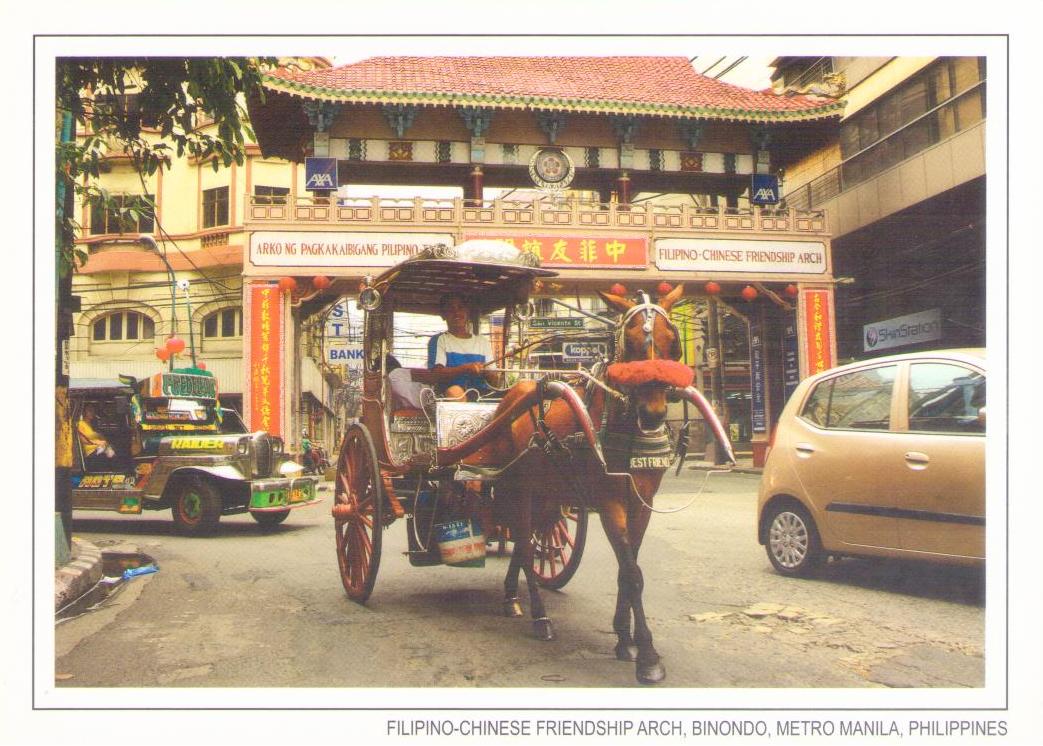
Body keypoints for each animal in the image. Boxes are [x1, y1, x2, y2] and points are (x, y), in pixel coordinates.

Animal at [481, 283, 725, 684]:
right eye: (631, 342)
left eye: (672, 342)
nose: (653, 414)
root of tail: (512, 395)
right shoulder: (610, 501)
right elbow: (632, 572)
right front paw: (648, 655)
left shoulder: (642, 501)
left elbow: (630, 567)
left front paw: (624, 638)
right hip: (521, 487)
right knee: (524, 543)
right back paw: (540, 617)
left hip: (548, 492)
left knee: (526, 540)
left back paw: (510, 597)